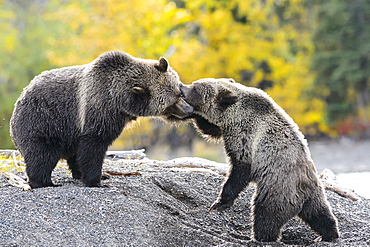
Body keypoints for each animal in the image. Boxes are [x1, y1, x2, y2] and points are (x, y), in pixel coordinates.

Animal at [10, 51, 194, 188]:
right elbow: (94, 144)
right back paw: (45, 182)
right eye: (171, 103)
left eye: (179, 92)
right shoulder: (99, 108)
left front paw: (101, 176)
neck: (120, 102)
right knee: (42, 153)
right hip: (43, 120)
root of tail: (20, 97)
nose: (189, 110)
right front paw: (96, 181)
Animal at [179, 79, 338, 243]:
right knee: (320, 214)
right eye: (195, 83)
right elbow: (210, 129)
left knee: (265, 215)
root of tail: (301, 196)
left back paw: (261, 236)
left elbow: (239, 170)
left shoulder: (245, 136)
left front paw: (219, 203)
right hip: (313, 192)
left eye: (196, 88)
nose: (182, 87)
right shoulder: (226, 127)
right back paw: (328, 234)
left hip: (277, 189)